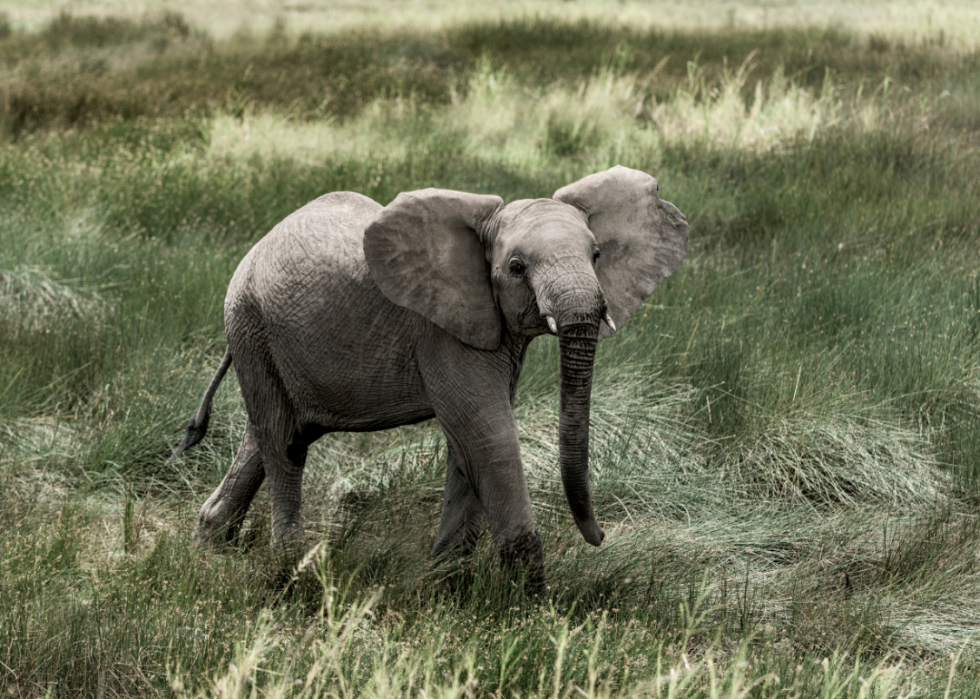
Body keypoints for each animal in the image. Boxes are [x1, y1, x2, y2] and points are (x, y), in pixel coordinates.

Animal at [168, 165, 688, 592]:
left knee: (272, 434)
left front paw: (443, 585)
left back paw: (210, 547)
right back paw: (289, 570)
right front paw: (531, 609)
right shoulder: (441, 331)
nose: (599, 536)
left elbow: (467, 445)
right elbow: (487, 435)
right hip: (250, 323)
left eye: (597, 254)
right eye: (516, 268)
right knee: (284, 442)